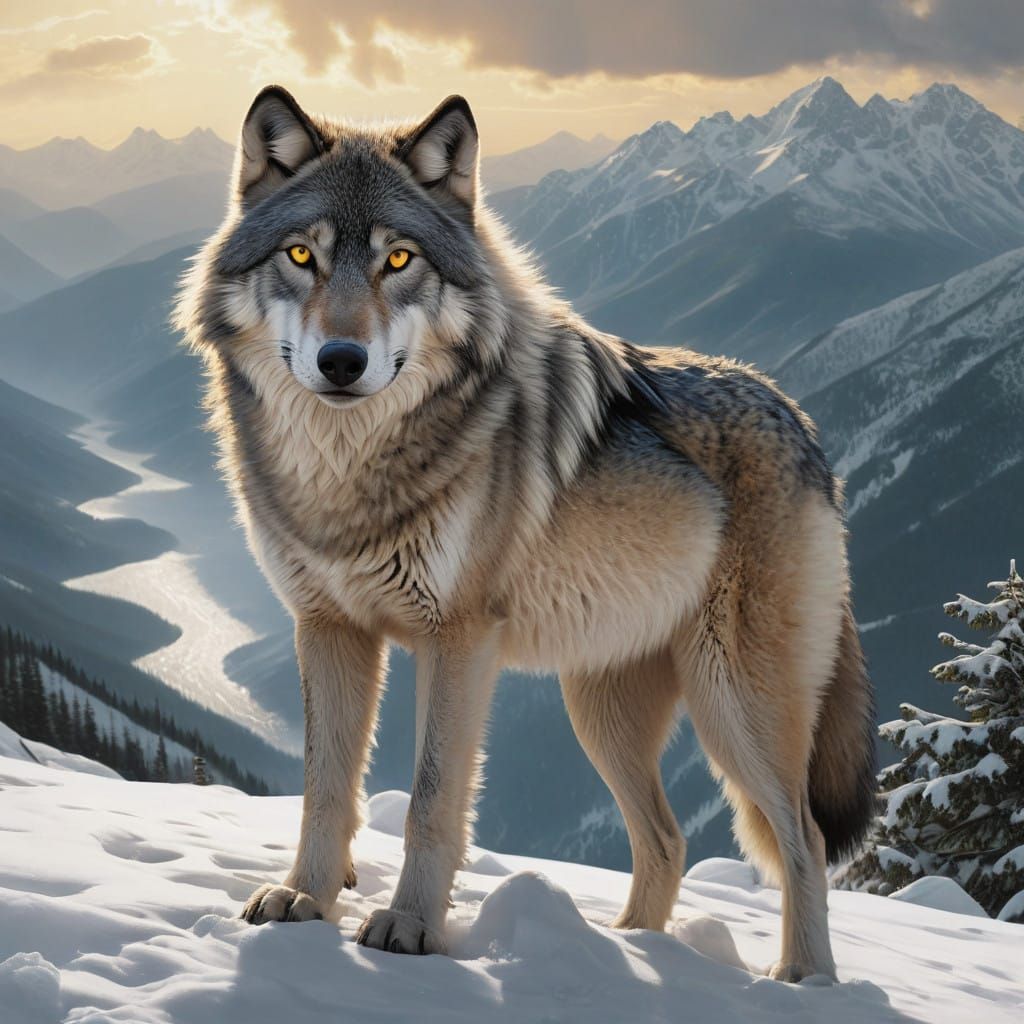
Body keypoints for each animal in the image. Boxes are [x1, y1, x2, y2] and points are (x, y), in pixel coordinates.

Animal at [175, 86, 876, 981]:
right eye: (302, 255)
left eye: (399, 262)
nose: (341, 360)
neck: (350, 472)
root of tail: (804, 425)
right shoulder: (327, 628)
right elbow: (325, 788)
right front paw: (304, 899)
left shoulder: (458, 639)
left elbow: (433, 800)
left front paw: (409, 929)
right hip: (600, 709)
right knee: (667, 839)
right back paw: (630, 950)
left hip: (735, 704)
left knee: (804, 840)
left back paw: (801, 980)